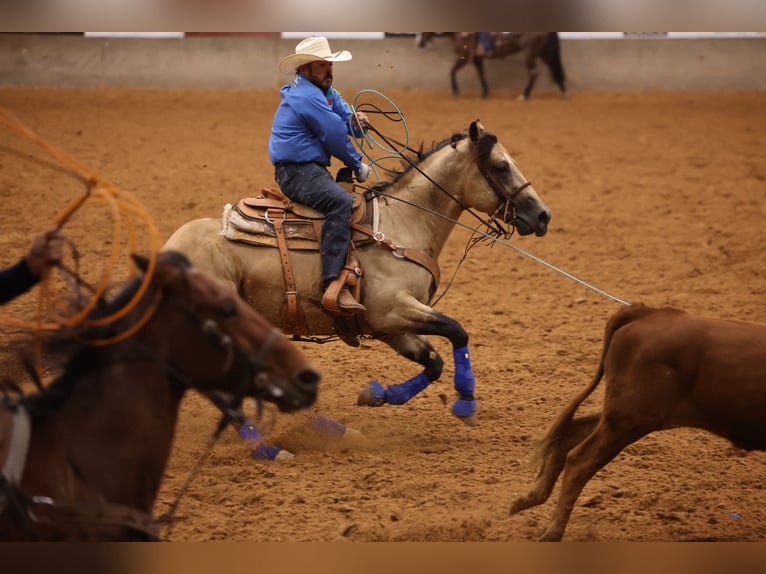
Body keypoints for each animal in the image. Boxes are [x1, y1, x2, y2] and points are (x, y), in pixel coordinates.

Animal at [164, 120, 551, 430]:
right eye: (501, 167)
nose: (543, 215)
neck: (402, 224)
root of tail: (170, 250)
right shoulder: (392, 310)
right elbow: (457, 331)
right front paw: (466, 403)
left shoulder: (388, 326)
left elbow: (433, 362)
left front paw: (376, 394)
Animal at [416, 32, 567, 100]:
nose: (418, 42)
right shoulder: (477, 58)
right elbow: (481, 74)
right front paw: (484, 92)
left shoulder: (463, 56)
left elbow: (452, 71)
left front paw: (455, 91)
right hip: (545, 52)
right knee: (554, 68)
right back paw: (564, 92)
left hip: (530, 52)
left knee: (534, 72)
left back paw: (524, 95)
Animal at [509, 303, 766, 541]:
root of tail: (650, 314)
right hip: (629, 418)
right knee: (580, 461)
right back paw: (552, 532)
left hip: (623, 414)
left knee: (572, 433)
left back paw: (529, 498)